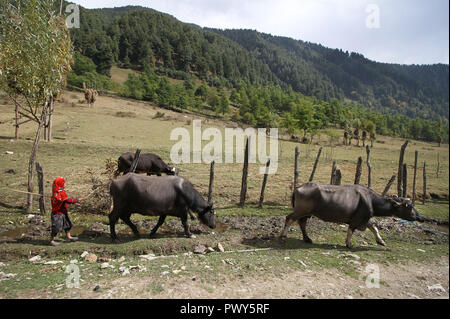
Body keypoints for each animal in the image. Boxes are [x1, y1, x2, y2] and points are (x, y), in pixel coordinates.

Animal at [282, 182, 426, 250]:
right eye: (410, 207)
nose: (421, 217)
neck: (370, 200)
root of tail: (298, 188)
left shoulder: (365, 218)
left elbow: (374, 227)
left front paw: (381, 241)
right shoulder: (358, 219)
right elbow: (351, 230)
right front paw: (349, 244)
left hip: (307, 213)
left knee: (302, 222)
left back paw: (307, 239)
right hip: (301, 210)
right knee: (289, 218)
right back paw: (283, 236)